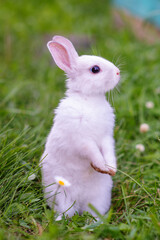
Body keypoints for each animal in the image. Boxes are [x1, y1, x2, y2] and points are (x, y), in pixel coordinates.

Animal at [41, 35, 120, 218]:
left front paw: (111, 168)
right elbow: (92, 151)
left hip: (99, 198)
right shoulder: (81, 139)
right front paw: (101, 166)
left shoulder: (106, 137)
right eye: (95, 69)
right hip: (61, 195)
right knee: (65, 212)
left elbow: (108, 150)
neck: (89, 99)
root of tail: (80, 203)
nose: (118, 72)